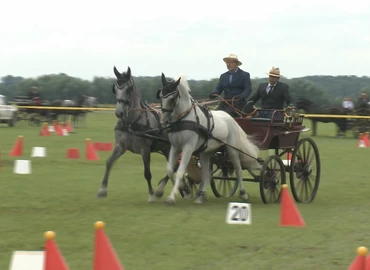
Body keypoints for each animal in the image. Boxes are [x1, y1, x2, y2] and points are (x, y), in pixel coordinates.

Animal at [158, 73, 260, 204]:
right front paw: (183, 189)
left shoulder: (188, 148)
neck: (184, 119)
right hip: (206, 152)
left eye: (172, 98)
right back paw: (200, 196)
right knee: (207, 174)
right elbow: (170, 170)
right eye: (161, 96)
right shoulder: (175, 147)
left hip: (232, 150)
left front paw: (171, 197)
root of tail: (231, 118)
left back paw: (243, 194)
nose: (163, 121)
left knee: (238, 170)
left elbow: (180, 171)